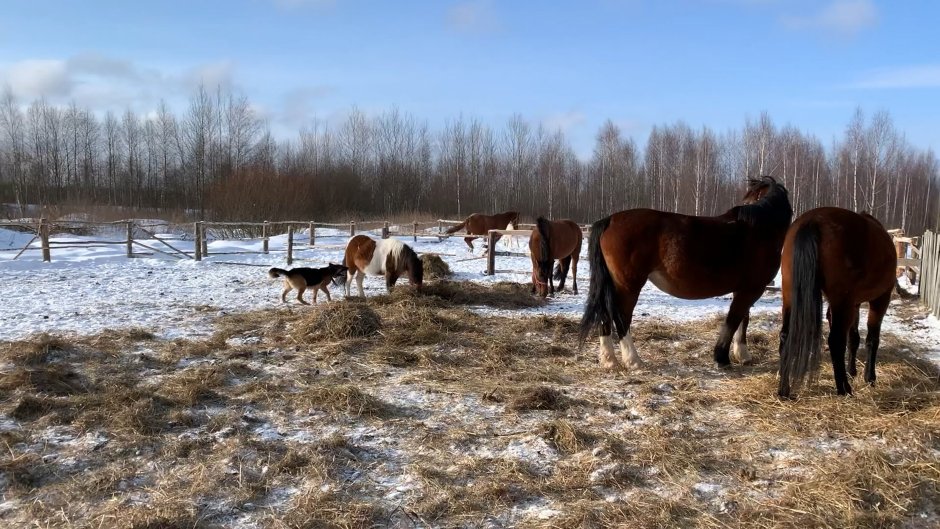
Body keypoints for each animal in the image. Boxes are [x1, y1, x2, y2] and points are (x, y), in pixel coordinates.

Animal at [580, 176, 792, 372]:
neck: (760, 231)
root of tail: (610, 220)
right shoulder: (752, 289)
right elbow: (733, 320)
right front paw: (722, 358)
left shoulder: (744, 289)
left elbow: (742, 319)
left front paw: (742, 354)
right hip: (628, 286)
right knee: (621, 318)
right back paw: (633, 361)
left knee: (605, 315)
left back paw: (609, 361)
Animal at [776, 206, 900, 396]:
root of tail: (812, 220)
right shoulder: (880, 299)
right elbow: (872, 338)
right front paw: (869, 378)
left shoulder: (854, 303)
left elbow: (854, 338)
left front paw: (852, 371)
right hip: (843, 302)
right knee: (835, 341)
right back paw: (844, 389)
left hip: (791, 296)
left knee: (786, 337)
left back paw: (784, 389)